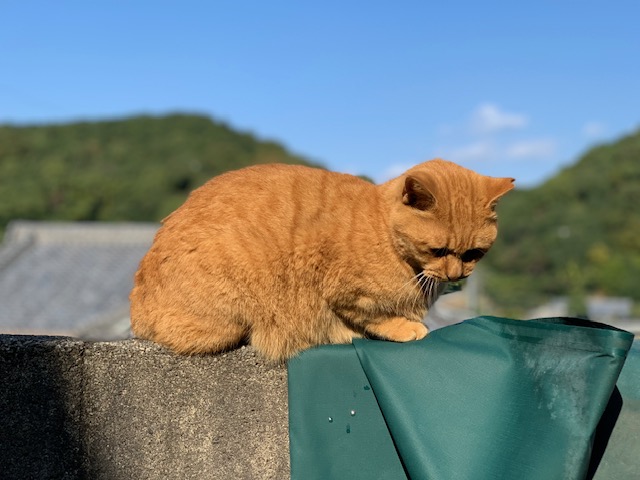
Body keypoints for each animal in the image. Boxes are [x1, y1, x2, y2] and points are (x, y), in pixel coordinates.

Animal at [130, 161, 516, 360]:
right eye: (437, 251)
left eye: (472, 254)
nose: (455, 275)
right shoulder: (344, 294)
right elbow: (374, 318)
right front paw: (406, 327)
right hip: (228, 320)